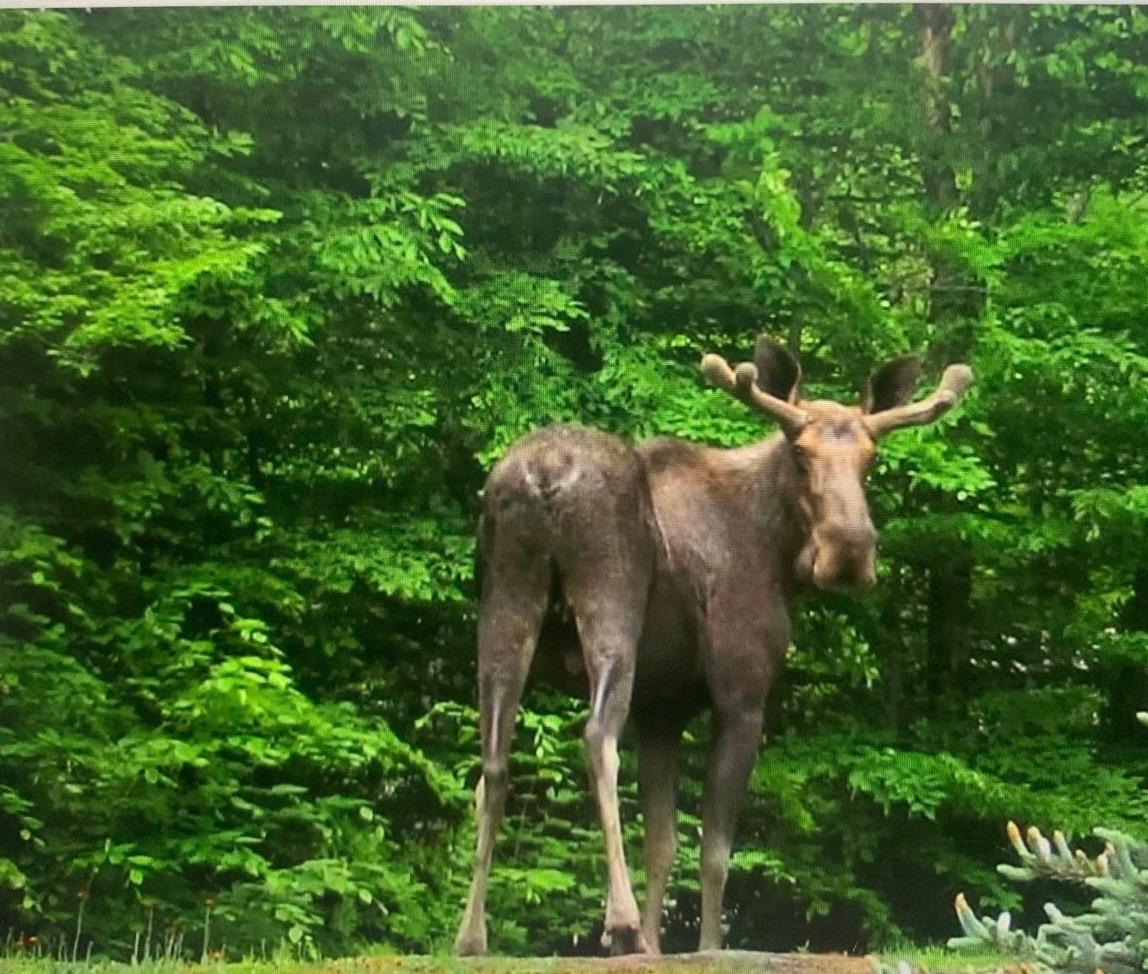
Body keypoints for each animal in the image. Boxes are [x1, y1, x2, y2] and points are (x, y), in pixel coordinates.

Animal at [453, 335, 973, 957]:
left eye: (871, 458)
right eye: (800, 453)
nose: (849, 550)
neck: (779, 557)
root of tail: (543, 475)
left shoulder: (662, 709)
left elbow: (663, 842)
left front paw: (657, 946)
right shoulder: (741, 698)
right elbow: (715, 850)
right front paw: (699, 944)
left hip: (505, 601)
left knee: (494, 760)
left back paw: (470, 936)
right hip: (611, 601)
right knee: (597, 736)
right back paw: (619, 923)